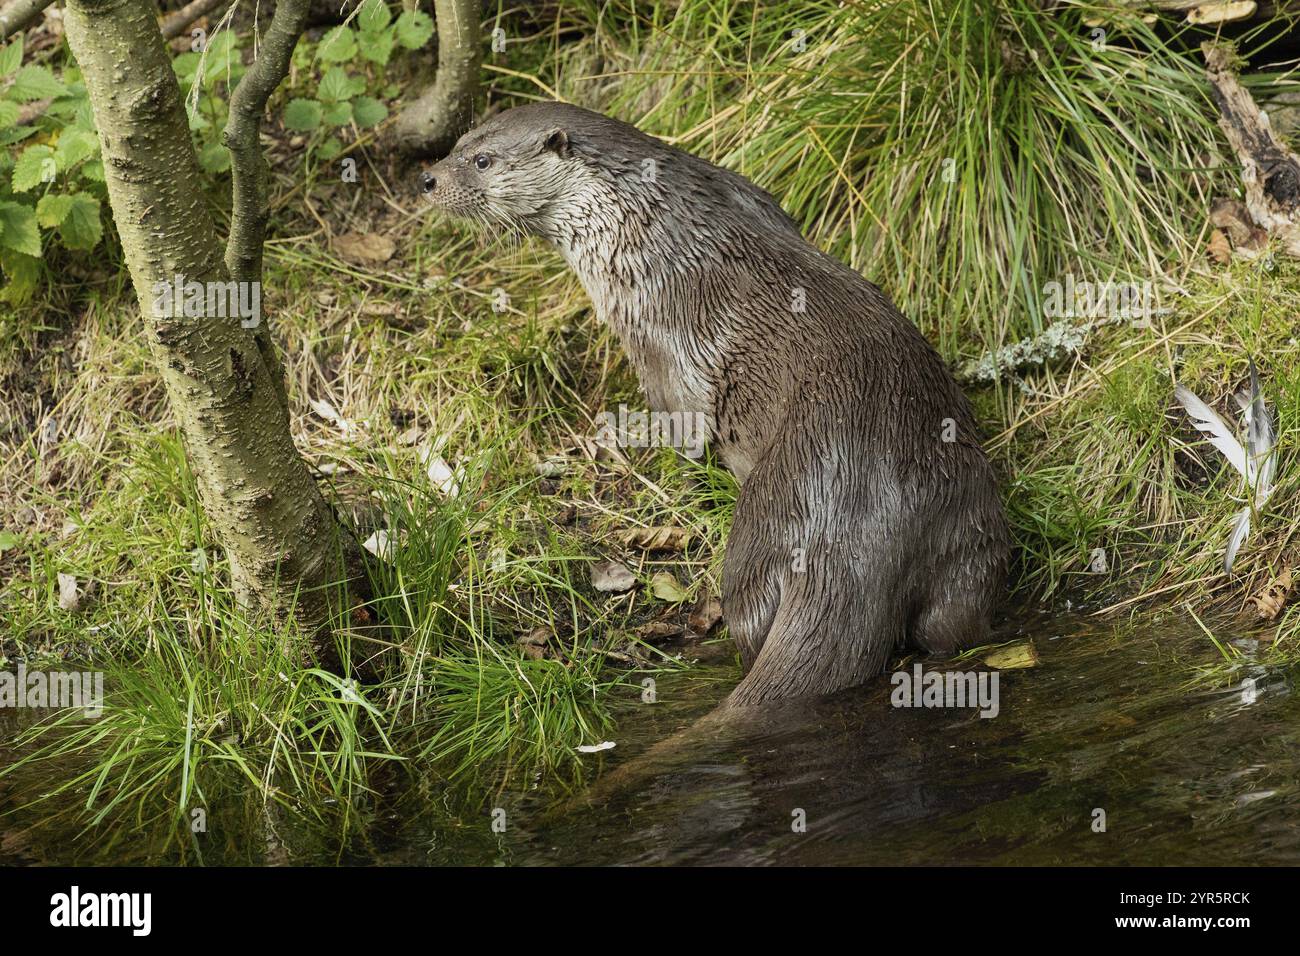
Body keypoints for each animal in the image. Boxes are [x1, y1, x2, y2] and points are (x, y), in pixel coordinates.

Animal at [421, 104, 1008, 707]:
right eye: (458, 143)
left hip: (763, 526)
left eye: (483, 160)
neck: (635, 221)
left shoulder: (655, 332)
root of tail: (859, 530)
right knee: (950, 624)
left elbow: (682, 425)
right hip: (968, 531)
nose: (428, 180)